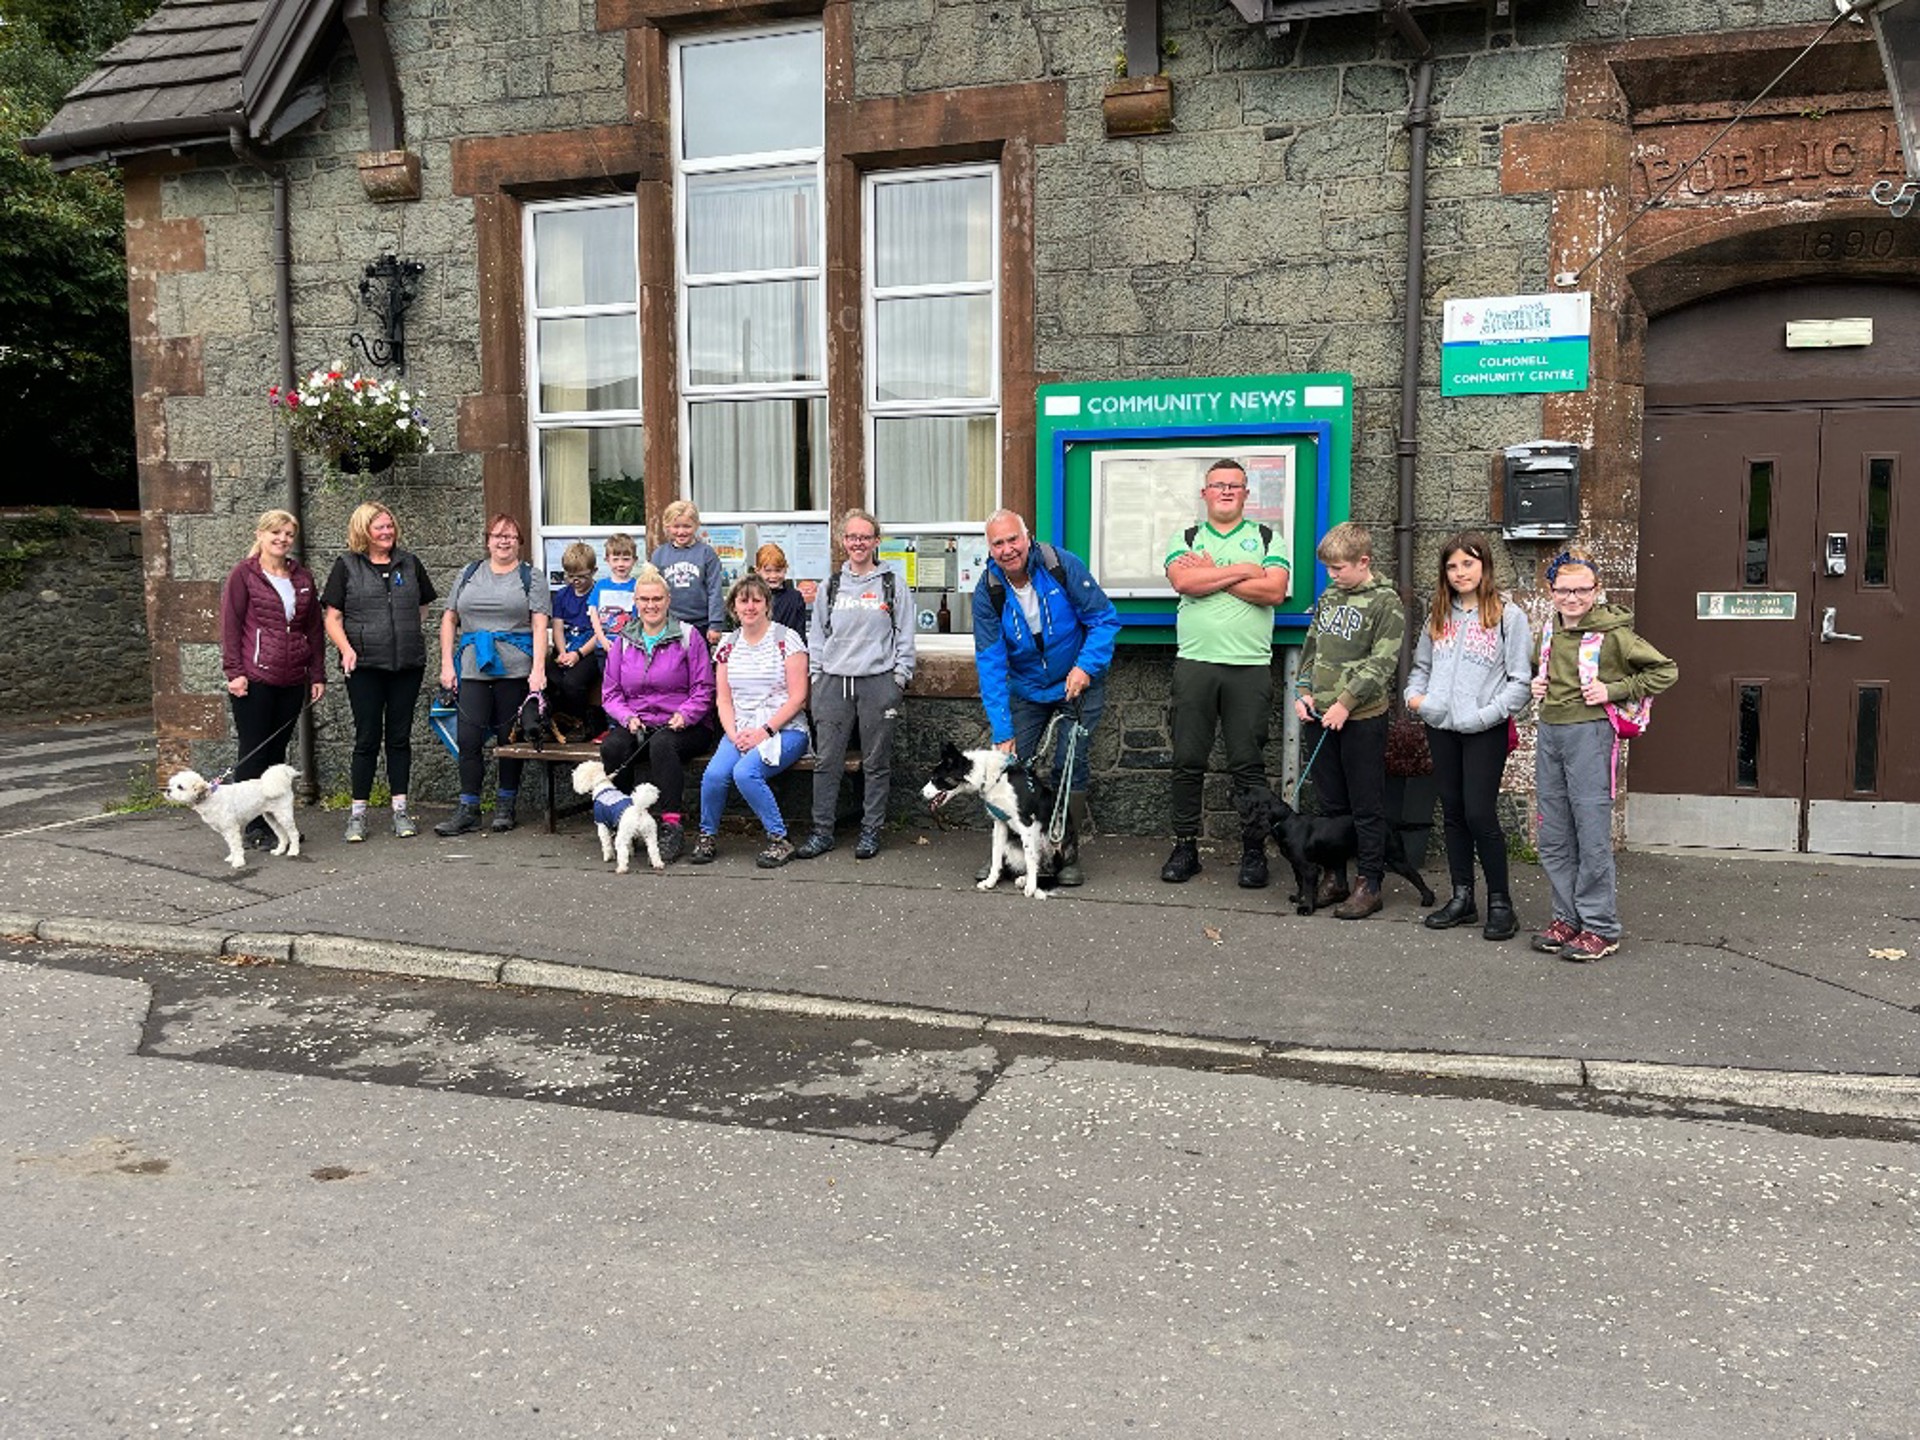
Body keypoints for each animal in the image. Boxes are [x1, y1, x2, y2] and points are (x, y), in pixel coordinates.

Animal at [1244, 794, 1443, 917]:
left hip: (1395, 857)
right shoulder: (1296, 865)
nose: (1245, 834)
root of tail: (1391, 822)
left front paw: (1307, 907)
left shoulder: (1309, 867)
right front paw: (1299, 898)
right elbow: (1300, 884)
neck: (1286, 824)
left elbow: (1308, 888)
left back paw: (1428, 899)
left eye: (1255, 819)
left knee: (1415, 875)